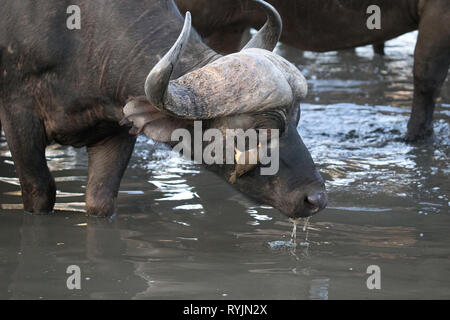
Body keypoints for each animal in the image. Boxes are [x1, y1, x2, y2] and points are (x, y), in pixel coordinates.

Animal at [0, 0, 326, 218]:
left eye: (297, 120)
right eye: (261, 130)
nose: (316, 199)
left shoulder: (117, 131)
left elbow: (100, 199)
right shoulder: (17, 116)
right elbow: (40, 190)